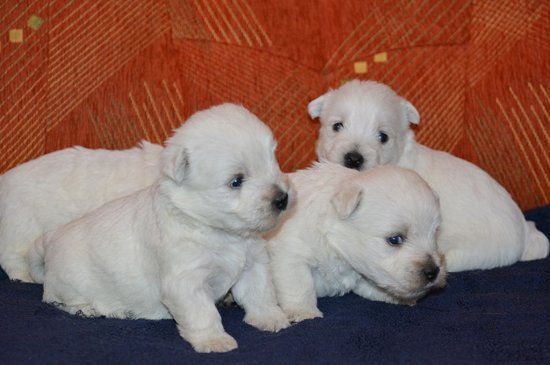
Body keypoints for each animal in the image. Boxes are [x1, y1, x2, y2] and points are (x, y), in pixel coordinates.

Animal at [27, 103, 294, 352]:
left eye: (273, 161)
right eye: (236, 181)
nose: (282, 199)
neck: (219, 230)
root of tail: (50, 238)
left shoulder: (254, 263)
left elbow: (260, 292)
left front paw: (271, 318)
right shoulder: (186, 280)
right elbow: (202, 313)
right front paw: (214, 340)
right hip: (70, 282)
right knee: (59, 300)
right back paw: (93, 309)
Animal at [268, 162, 448, 322]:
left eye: (434, 233)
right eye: (395, 239)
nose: (433, 272)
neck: (334, 241)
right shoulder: (291, 255)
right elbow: (300, 285)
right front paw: (305, 313)